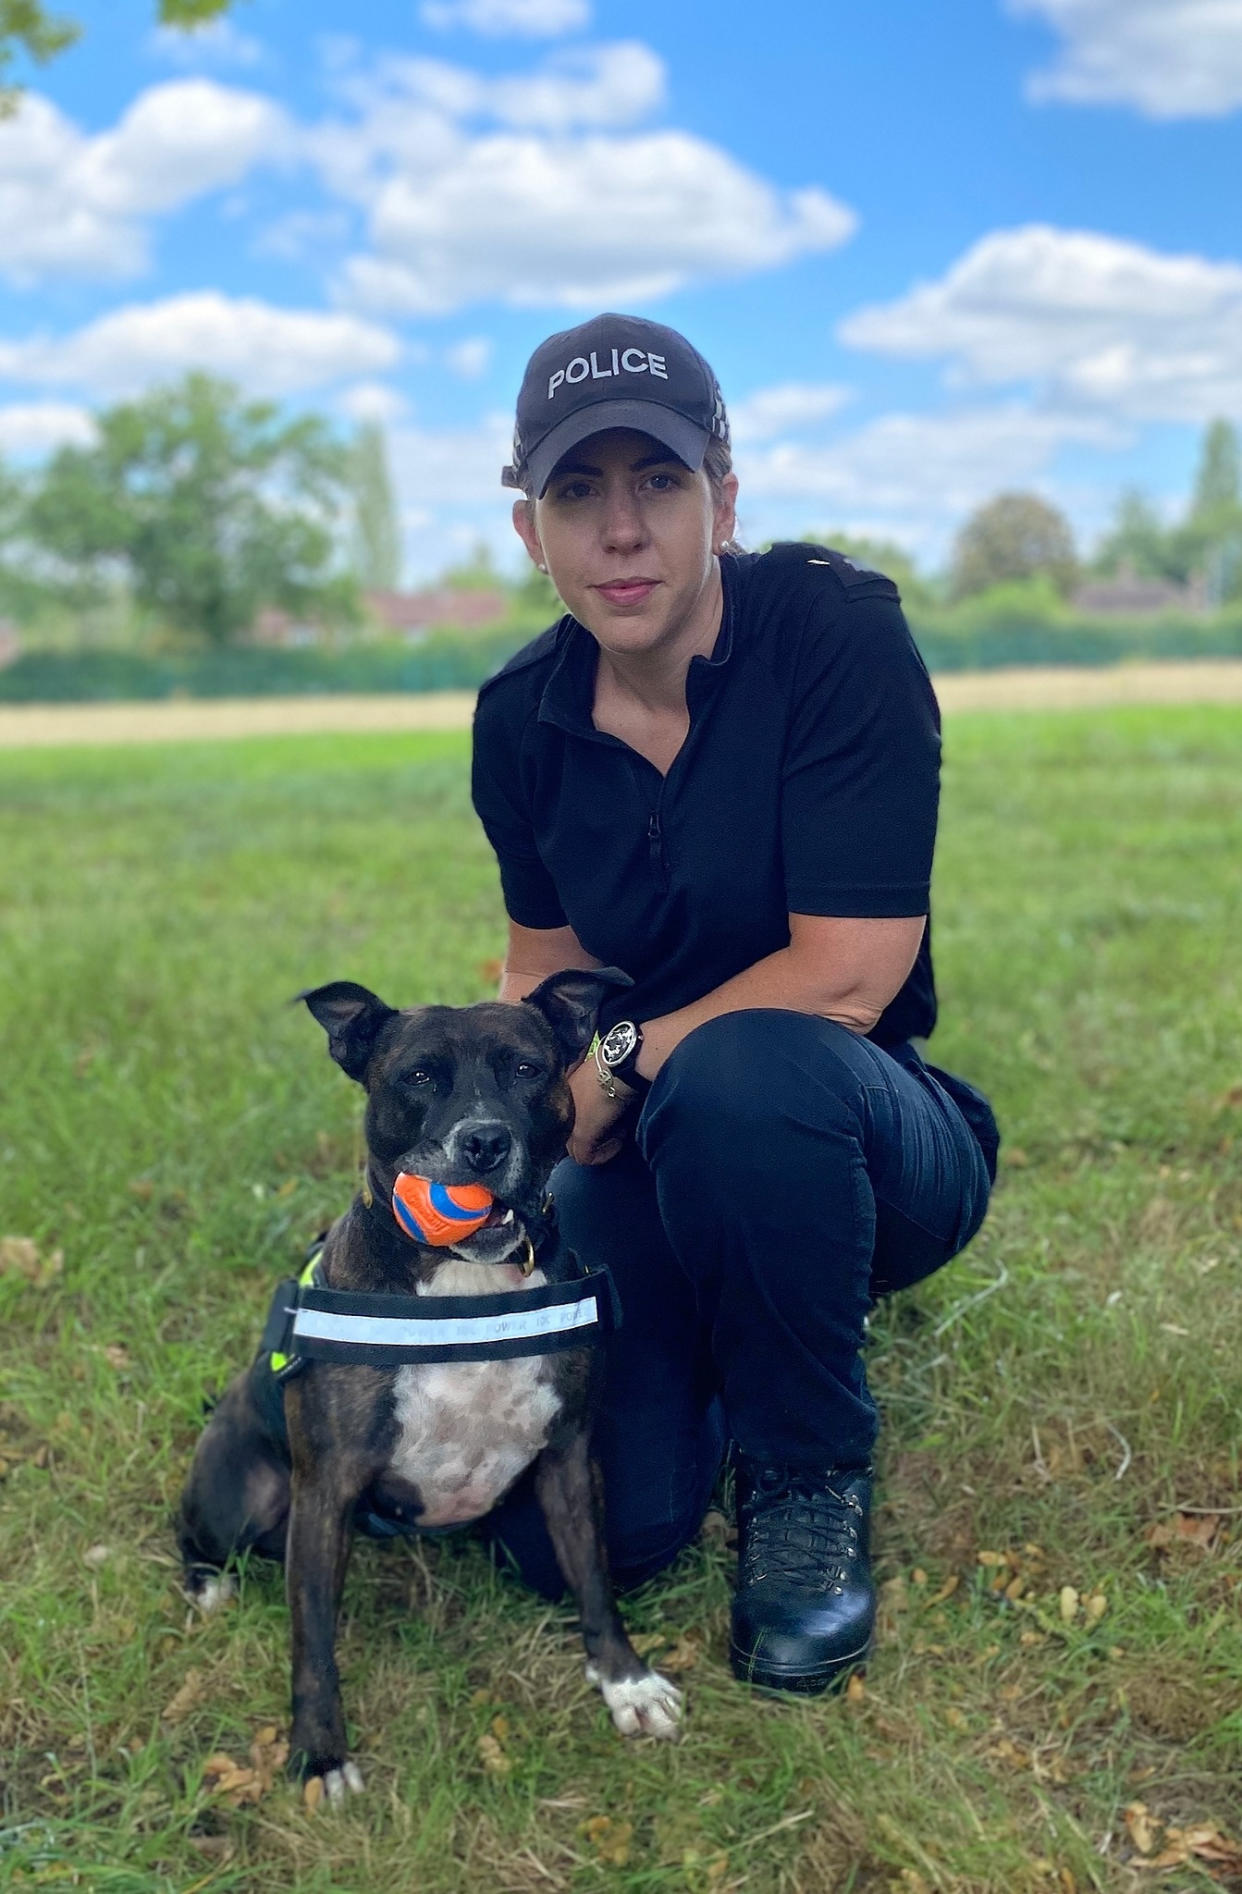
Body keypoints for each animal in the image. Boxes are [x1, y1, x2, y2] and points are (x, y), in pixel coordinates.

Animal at [177, 969, 677, 1795]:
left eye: (526, 1069)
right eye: (418, 1077)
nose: (484, 1140)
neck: (463, 1280)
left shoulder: (569, 1455)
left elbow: (594, 1578)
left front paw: (624, 1680)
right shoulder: (327, 1487)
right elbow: (313, 1640)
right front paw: (320, 1752)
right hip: (239, 1493)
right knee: (192, 1532)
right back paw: (205, 1584)